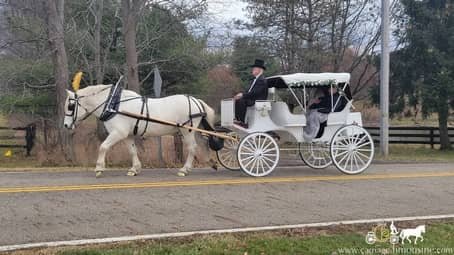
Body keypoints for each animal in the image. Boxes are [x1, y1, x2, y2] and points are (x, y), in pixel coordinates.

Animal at [63, 84, 217, 176]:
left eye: (71, 106)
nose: (65, 125)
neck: (113, 106)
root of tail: (195, 100)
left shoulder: (118, 133)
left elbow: (103, 147)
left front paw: (99, 168)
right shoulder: (127, 135)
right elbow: (132, 150)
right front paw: (134, 169)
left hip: (187, 131)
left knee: (192, 147)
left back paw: (184, 169)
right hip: (193, 130)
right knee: (203, 143)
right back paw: (211, 162)